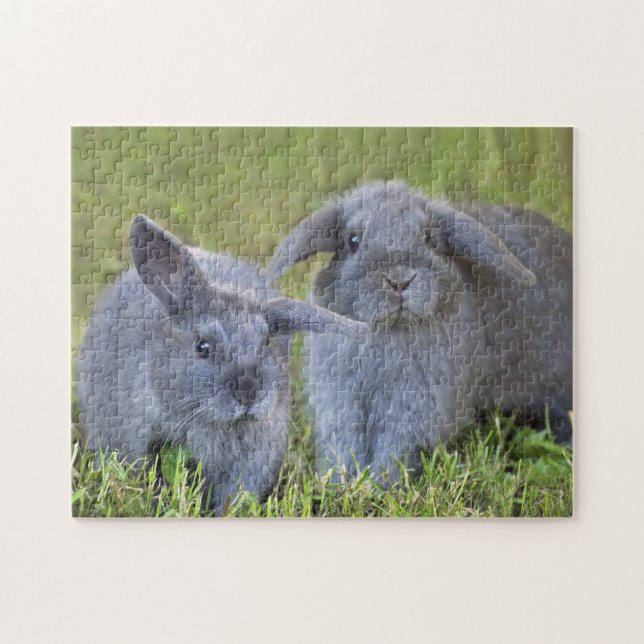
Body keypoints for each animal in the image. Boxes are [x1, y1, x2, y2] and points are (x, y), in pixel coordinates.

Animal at [267, 181, 572, 480]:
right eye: (353, 240)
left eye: (428, 238)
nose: (399, 280)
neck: (389, 331)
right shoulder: (341, 401)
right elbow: (344, 444)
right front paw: (338, 482)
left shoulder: (417, 406)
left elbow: (395, 448)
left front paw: (380, 485)